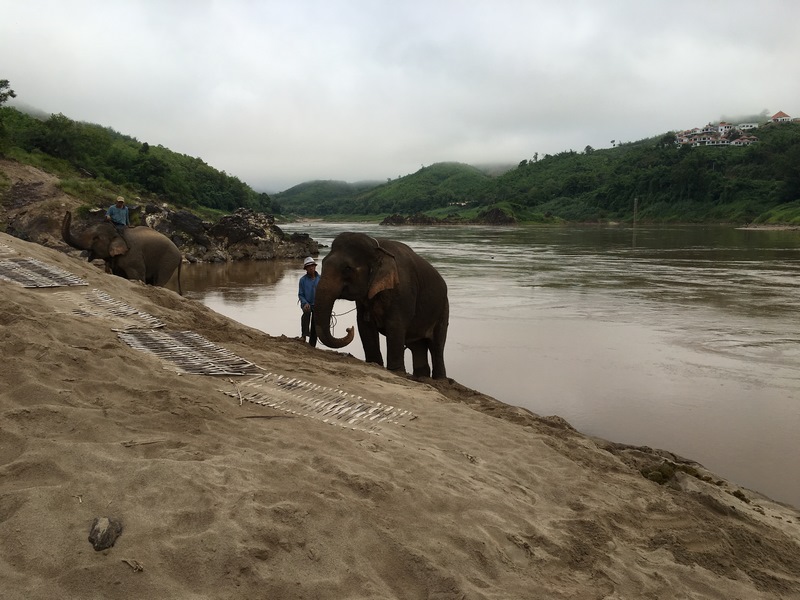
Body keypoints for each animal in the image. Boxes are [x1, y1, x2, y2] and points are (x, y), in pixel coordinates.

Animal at [315, 232, 449, 379]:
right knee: (417, 346)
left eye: (347, 269)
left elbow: (395, 325)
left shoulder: (403, 292)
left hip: (443, 308)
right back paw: (421, 377)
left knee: (437, 345)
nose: (349, 329)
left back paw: (440, 380)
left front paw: (396, 371)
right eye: (322, 263)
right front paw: (374, 363)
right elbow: (364, 325)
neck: (378, 248)